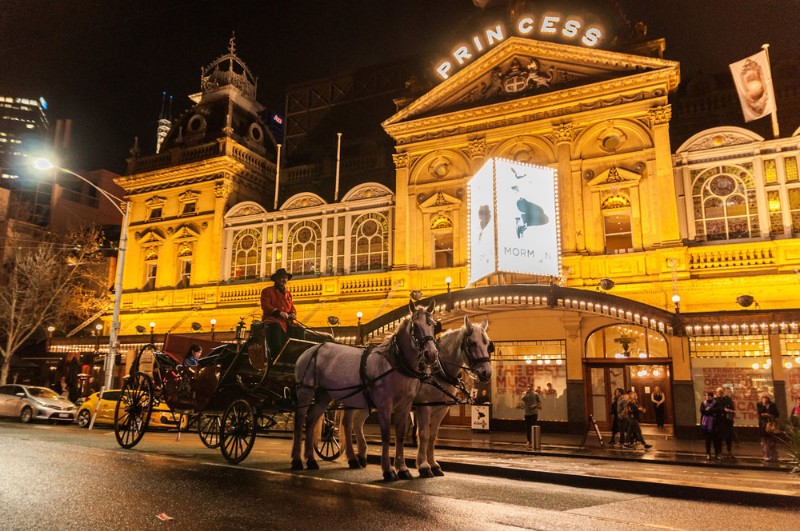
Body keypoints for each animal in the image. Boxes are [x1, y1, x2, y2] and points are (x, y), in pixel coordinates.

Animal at [290, 300, 438, 482]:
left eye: (433, 325)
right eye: (415, 326)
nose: (431, 354)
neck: (395, 362)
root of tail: (311, 349)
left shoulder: (405, 406)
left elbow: (400, 435)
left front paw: (403, 469)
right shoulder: (384, 405)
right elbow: (386, 435)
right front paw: (388, 470)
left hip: (324, 395)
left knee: (311, 420)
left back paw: (311, 460)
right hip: (305, 392)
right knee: (300, 421)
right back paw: (297, 460)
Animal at [412, 316, 494, 478]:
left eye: (487, 344)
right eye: (472, 343)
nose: (486, 373)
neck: (438, 370)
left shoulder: (440, 409)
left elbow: (432, 436)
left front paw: (433, 464)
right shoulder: (424, 407)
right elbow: (423, 434)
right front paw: (423, 466)